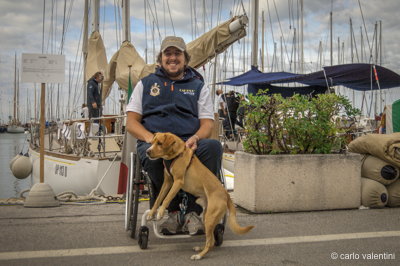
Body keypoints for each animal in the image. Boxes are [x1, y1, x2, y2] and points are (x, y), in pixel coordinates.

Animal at [146, 132, 253, 260]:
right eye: (152, 142)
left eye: (160, 143)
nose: (147, 151)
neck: (177, 154)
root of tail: (227, 195)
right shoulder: (167, 182)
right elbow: (158, 199)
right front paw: (152, 212)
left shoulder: (177, 182)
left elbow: (167, 198)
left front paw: (160, 212)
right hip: (207, 217)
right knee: (211, 241)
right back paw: (200, 249)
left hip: (210, 218)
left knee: (210, 242)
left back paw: (199, 255)